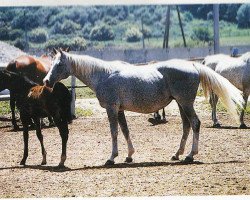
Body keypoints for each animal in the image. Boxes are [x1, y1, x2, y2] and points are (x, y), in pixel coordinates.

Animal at [43, 50, 244, 166]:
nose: (46, 81)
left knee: (195, 123)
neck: (103, 75)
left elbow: (114, 132)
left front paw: (111, 158)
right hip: (181, 104)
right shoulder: (120, 110)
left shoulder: (111, 108)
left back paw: (190, 155)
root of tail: (193, 65)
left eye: (59, 64)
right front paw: (129, 155)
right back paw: (177, 154)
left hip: (186, 103)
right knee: (186, 125)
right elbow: (125, 131)